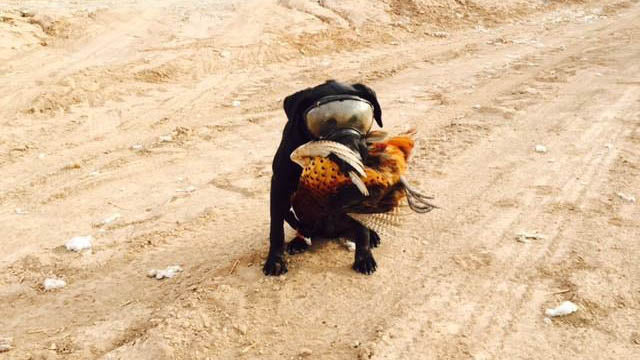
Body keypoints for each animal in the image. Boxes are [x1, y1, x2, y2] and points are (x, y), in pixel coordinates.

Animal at [262, 79, 382, 276]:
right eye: (324, 123)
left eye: (359, 119)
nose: (353, 156)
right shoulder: (279, 185)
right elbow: (276, 229)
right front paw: (275, 260)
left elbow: (362, 229)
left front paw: (364, 256)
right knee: (304, 228)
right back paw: (300, 240)